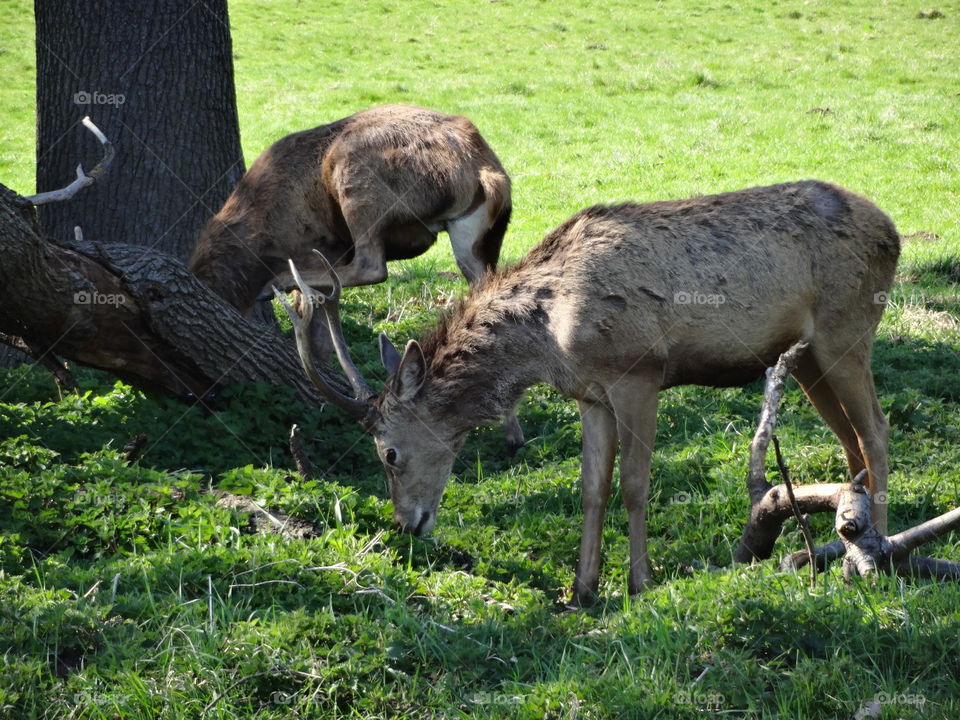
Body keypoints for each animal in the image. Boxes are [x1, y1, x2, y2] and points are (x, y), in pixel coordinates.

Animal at [188, 102, 524, 450]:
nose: (202, 398)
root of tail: (488, 173)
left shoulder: (317, 245)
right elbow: (321, 337)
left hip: (356, 183)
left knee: (372, 264)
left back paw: (276, 282)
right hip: (476, 239)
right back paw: (513, 433)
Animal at [280, 181, 900, 608]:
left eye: (388, 452)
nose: (407, 524)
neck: (548, 338)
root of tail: (892, 231)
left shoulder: (638, 373)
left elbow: (634, 485)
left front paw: (640, 582)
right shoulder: (591, 394)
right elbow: (591, 488)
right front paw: (581, 589)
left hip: (848, 326)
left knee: (876, 430)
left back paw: (878, 548)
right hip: (808, 357)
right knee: (851, 441)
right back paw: (847, 534)